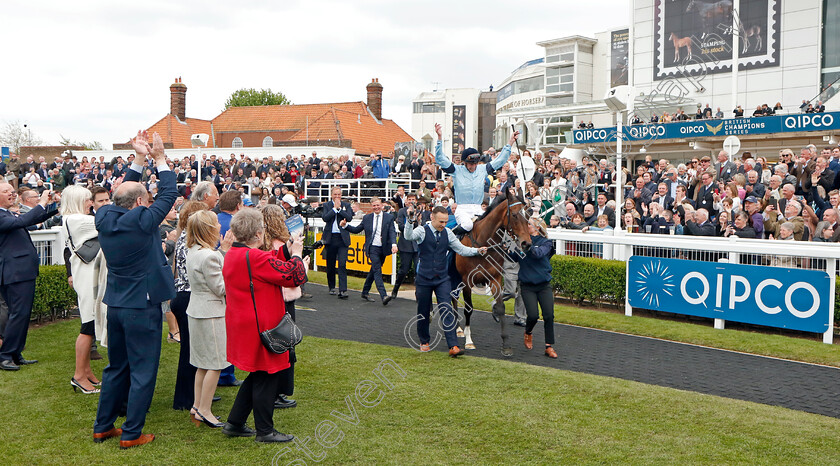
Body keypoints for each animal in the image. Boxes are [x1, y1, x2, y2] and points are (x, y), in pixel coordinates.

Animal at [452, 195, 532, 354]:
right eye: (515, 215)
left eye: (527, 216)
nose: (526, 243)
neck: (483, 244)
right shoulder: (467, 281)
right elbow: (468, 309)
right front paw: (469, 341)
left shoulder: (495, 279)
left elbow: (501, 307)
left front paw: (506, 344)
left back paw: (458, 329)